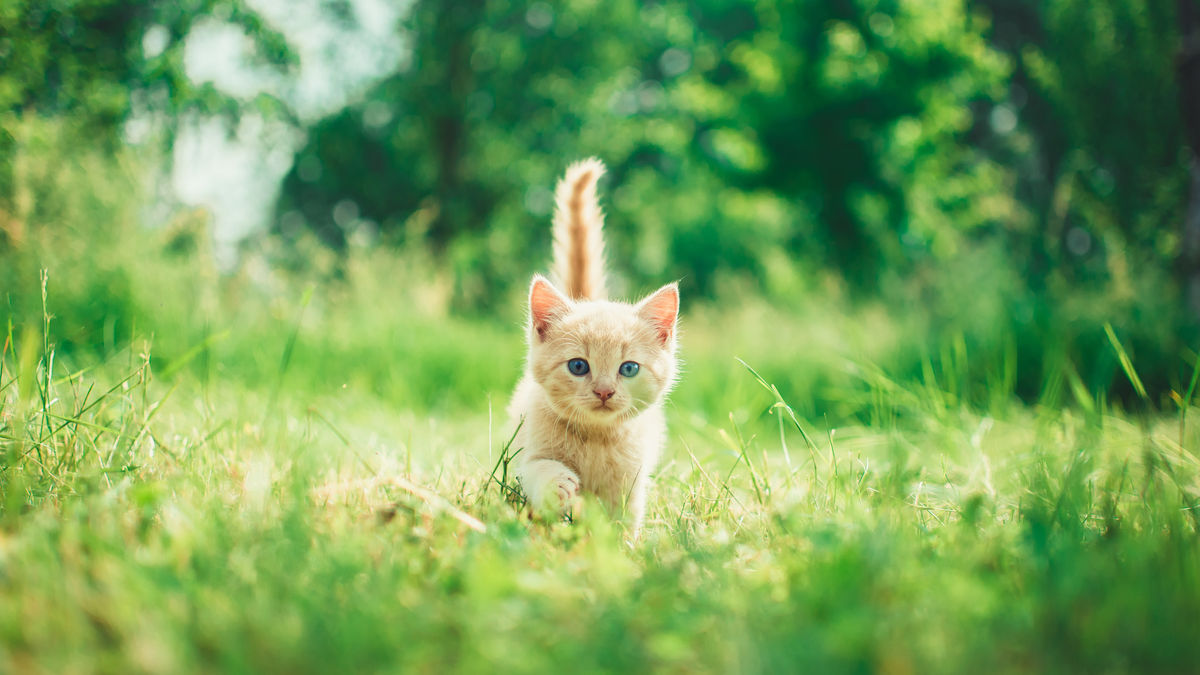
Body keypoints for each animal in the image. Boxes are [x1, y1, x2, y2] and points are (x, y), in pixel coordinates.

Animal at [508, 154, 681, 533]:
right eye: (578, 366)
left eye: (628, 368)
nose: (604, 391)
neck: (595, 439)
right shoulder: (526, 453)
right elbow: (536, 469)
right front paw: (557, 484)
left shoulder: (631, 482)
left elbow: (623, 521)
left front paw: (621, 546)